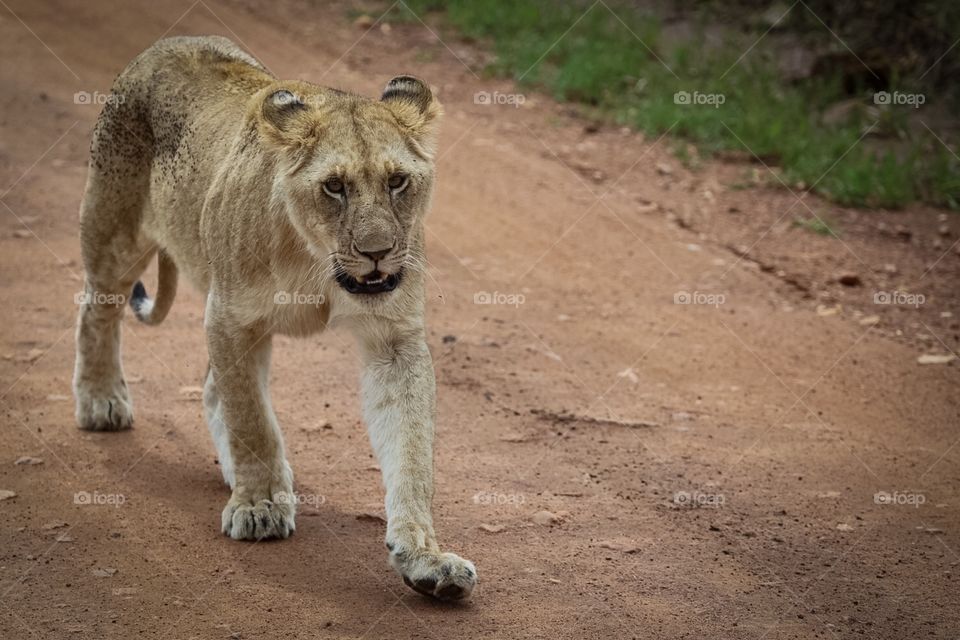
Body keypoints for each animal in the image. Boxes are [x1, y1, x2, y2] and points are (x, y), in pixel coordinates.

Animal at [72, 35, 476, 601]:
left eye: (397, 181)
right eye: (334, 187)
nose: (378, 253)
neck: (316, 261)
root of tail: (168, 43)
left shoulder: (394, 339)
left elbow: (412, 448)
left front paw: (424, 556)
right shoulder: (229, 316)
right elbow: (251, 419)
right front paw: (259, 505)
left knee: (212, 385)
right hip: (115, 234)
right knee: (96, 311)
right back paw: (101, 400)